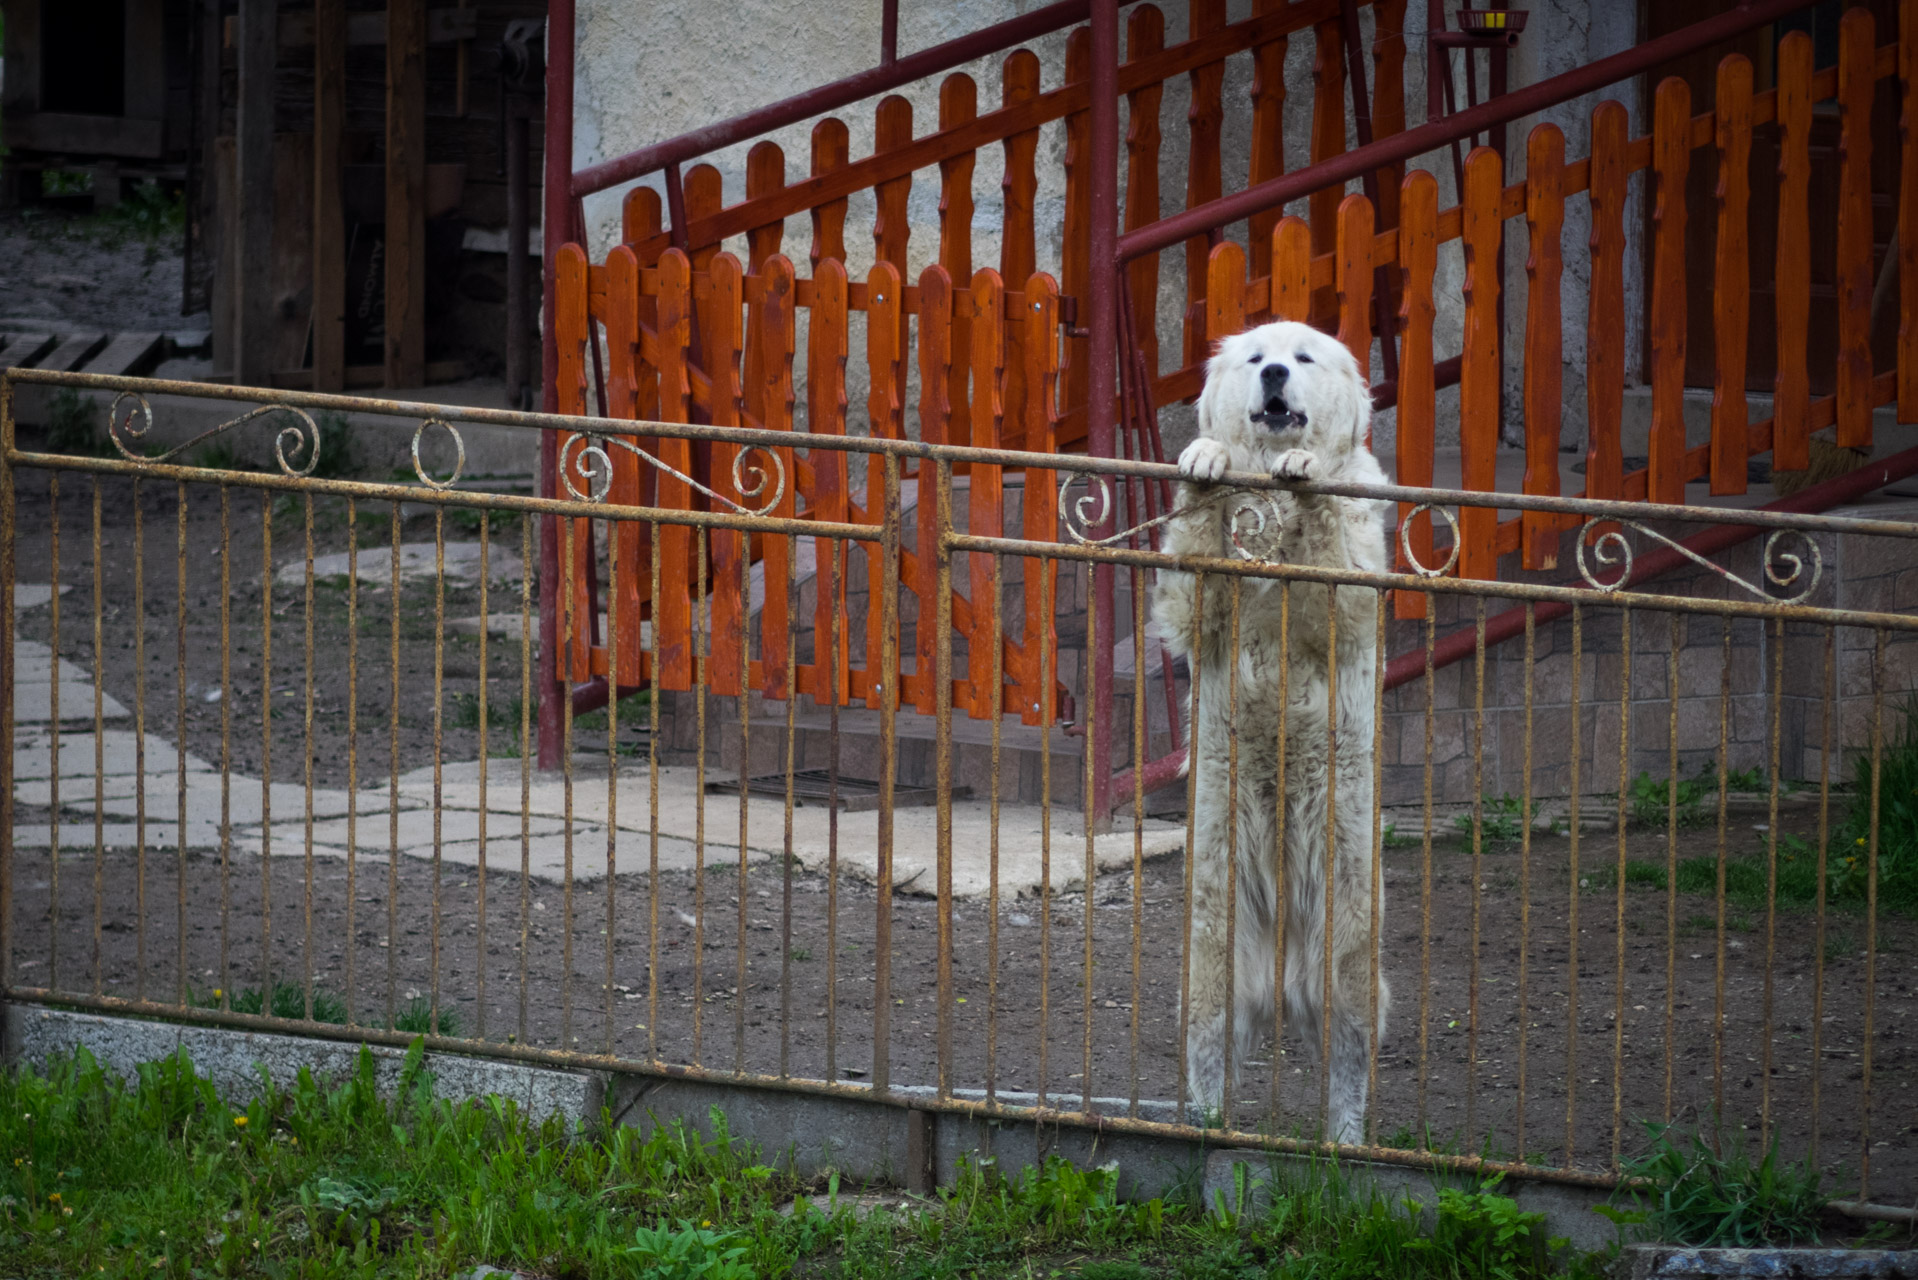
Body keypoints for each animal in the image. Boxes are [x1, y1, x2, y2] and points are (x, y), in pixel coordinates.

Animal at [1143, 320, 1388, 1143]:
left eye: (1304, 357)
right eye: (1255, 358)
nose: (1276, 374)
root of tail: (1283, 972)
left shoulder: (1353, 573)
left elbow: (1334, 570)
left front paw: (1305, 465)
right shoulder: (1205, 610)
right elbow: (1193, 582)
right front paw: (1204, 460)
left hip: (1346, 916)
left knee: (1348, 1040)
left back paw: (1346, 1138)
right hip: (1215, 921)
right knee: (1210, 1031)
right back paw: (1203, 1121)